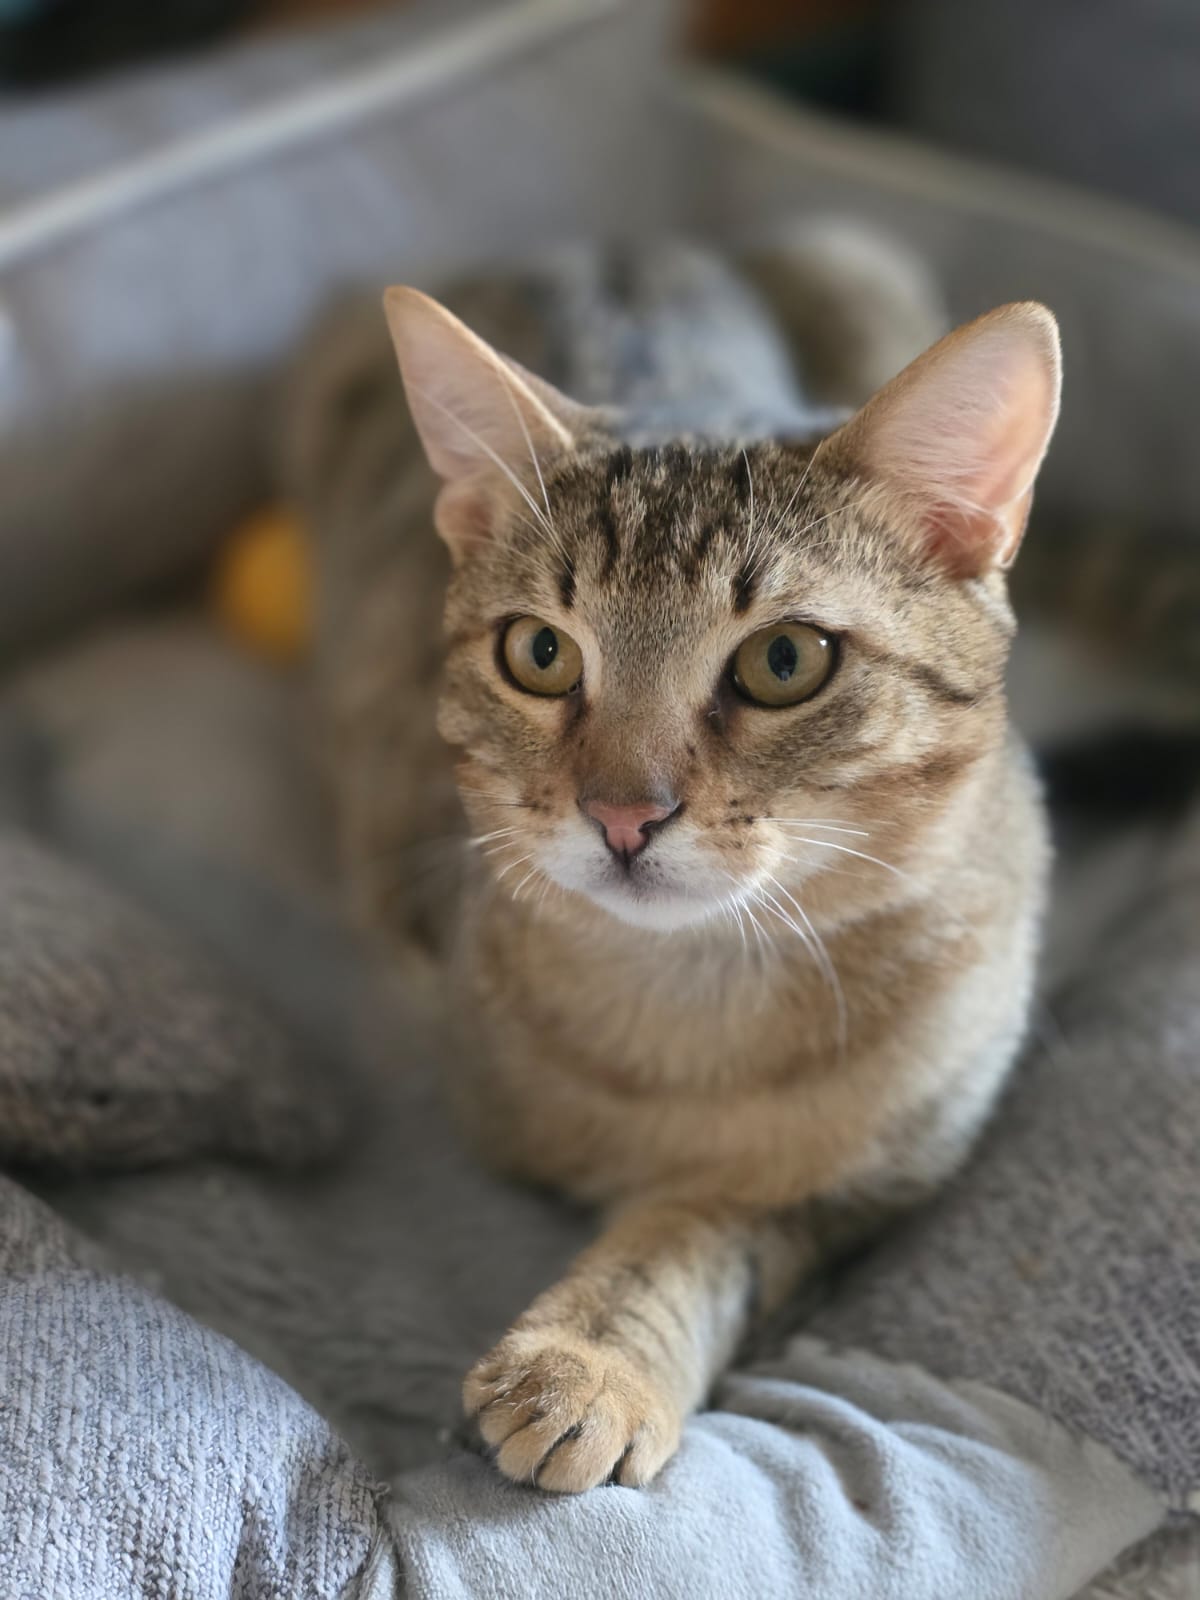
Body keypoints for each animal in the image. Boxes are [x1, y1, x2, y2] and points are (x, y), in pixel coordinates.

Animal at [300, 243, 1060, 1494]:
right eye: (539, 652)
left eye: (786, 660)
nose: (623, 814)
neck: (693, 1007)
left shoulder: (857, 1196)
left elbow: (701, 1235)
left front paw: (589, 1357)